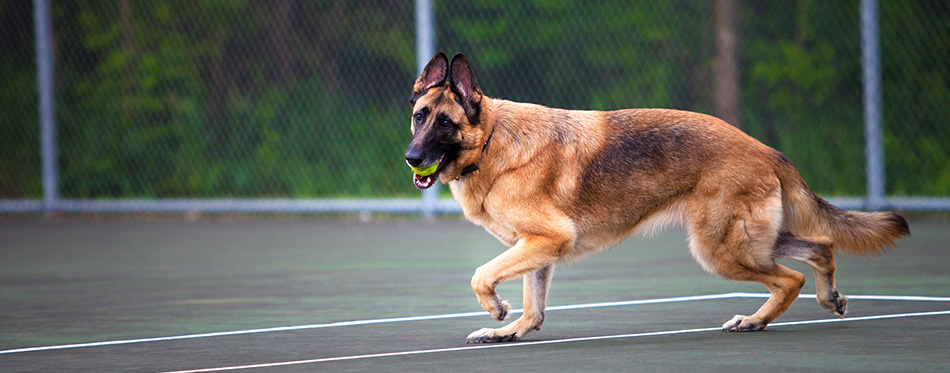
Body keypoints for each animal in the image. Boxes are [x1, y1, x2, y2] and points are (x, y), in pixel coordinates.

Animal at [406, 51, 912, 342]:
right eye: (419, 116)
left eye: (445, 123)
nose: (412, 158)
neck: (492, 140)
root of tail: (765, 148)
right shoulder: (537, 250)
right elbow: (535, 306)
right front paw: (511, 330)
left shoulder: (545, 241)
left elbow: (481, 275)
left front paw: (496, 309)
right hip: (749, 240)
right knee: (821, 247)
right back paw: (827, 300)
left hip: (718, 249)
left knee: (791, 279)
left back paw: (755, 321)